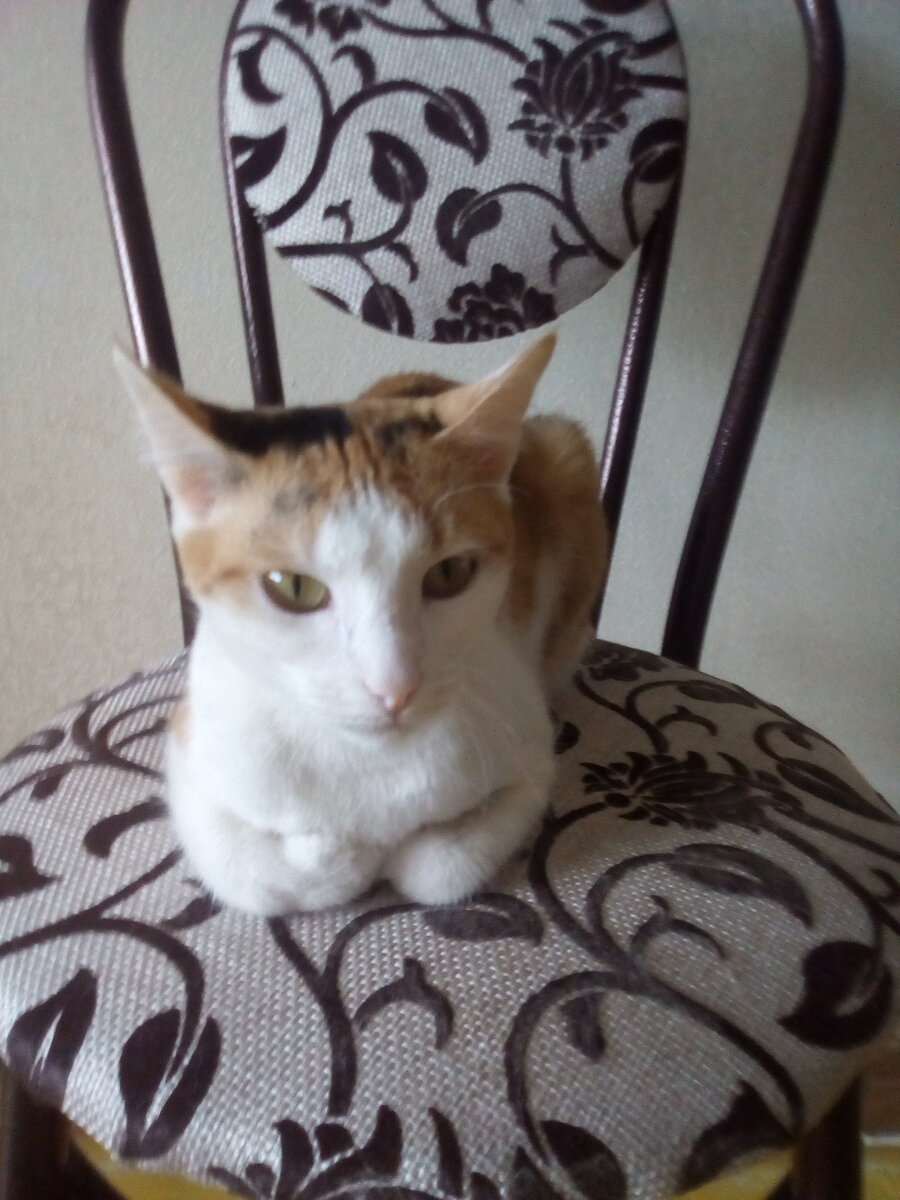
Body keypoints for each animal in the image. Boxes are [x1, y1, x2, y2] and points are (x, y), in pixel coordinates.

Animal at [115, 333, 608, 915]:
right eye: (293, 587)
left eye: (450, 573)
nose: (395, 688)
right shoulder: (191, 763)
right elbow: (256, 874)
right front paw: (339, 854)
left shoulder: (528, 747)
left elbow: (441, 867)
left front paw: (397, 851)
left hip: (567, 457)